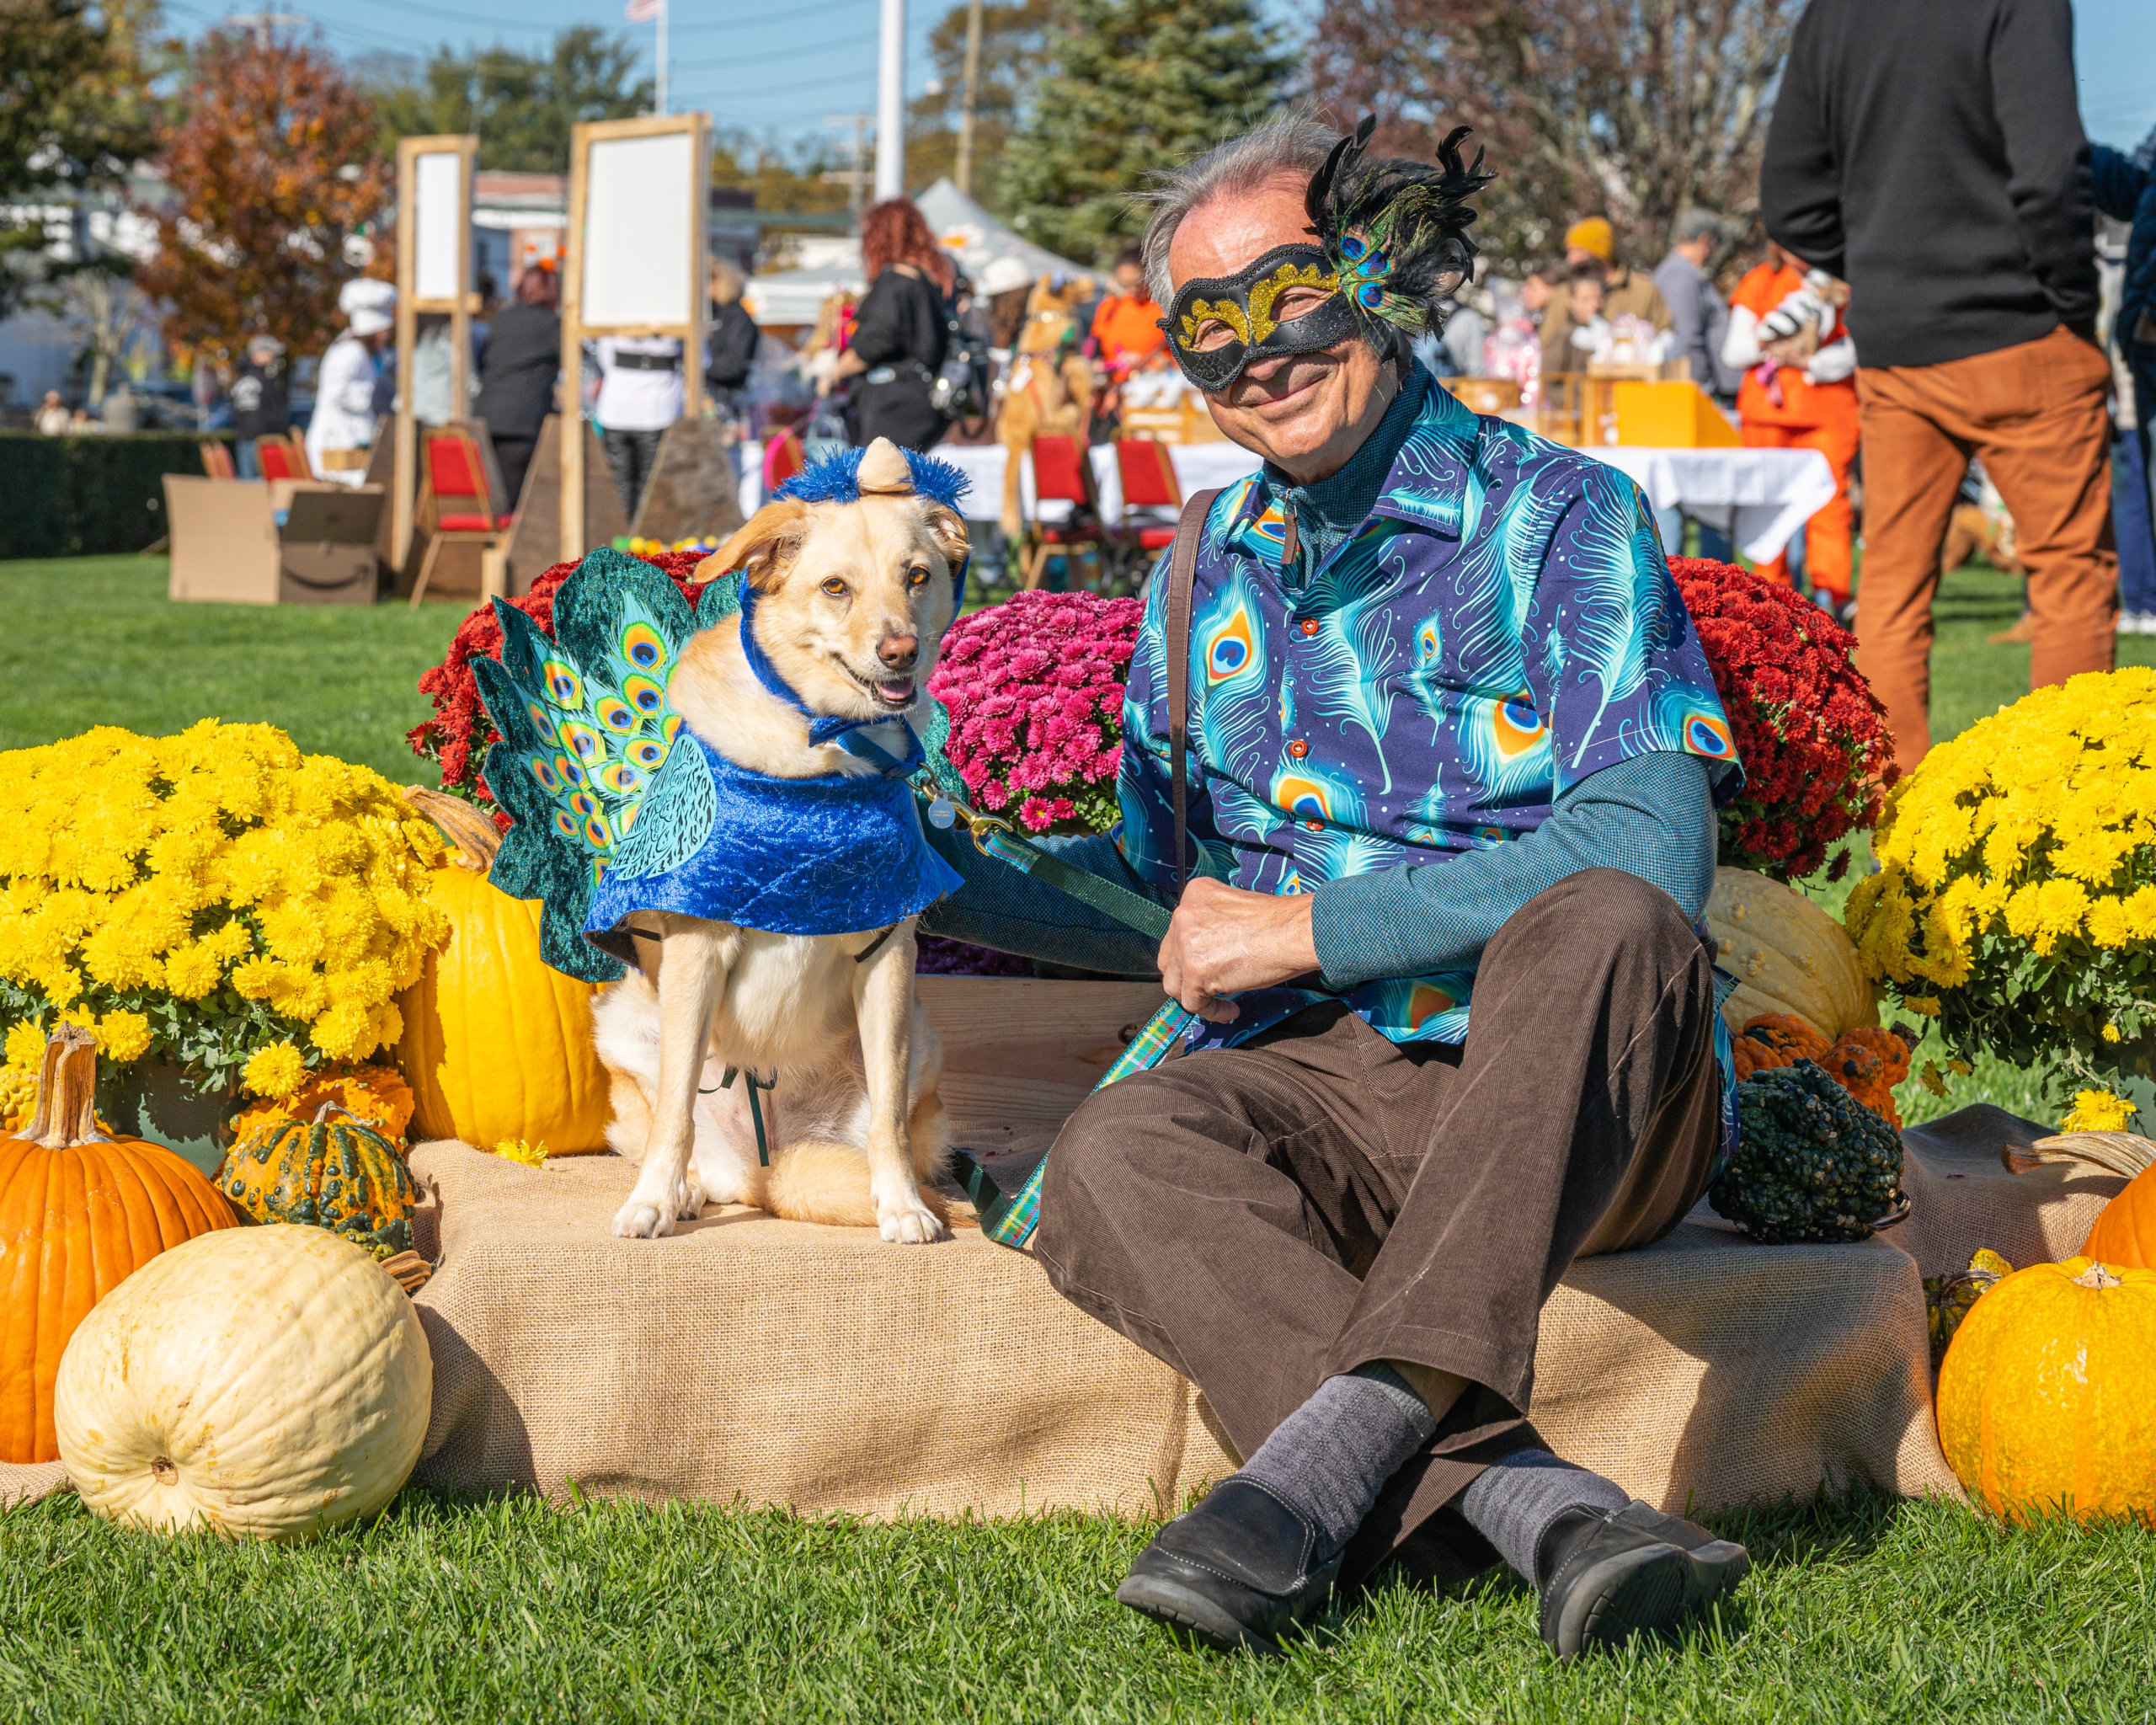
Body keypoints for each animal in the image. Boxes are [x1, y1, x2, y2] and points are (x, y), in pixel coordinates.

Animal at [590, 441, 961, 1242]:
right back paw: (684, 1190)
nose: (900, 652)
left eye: (917, 576)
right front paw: (651, 1201)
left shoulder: (888, 955)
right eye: (835, 587)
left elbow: (887, 1121)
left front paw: (903, 1205)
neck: (818, 751)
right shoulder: (696, 948)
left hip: (921, 1036)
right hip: (630, 1025)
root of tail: (762, 1170)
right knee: (676, 1126)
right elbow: (673, 1114)